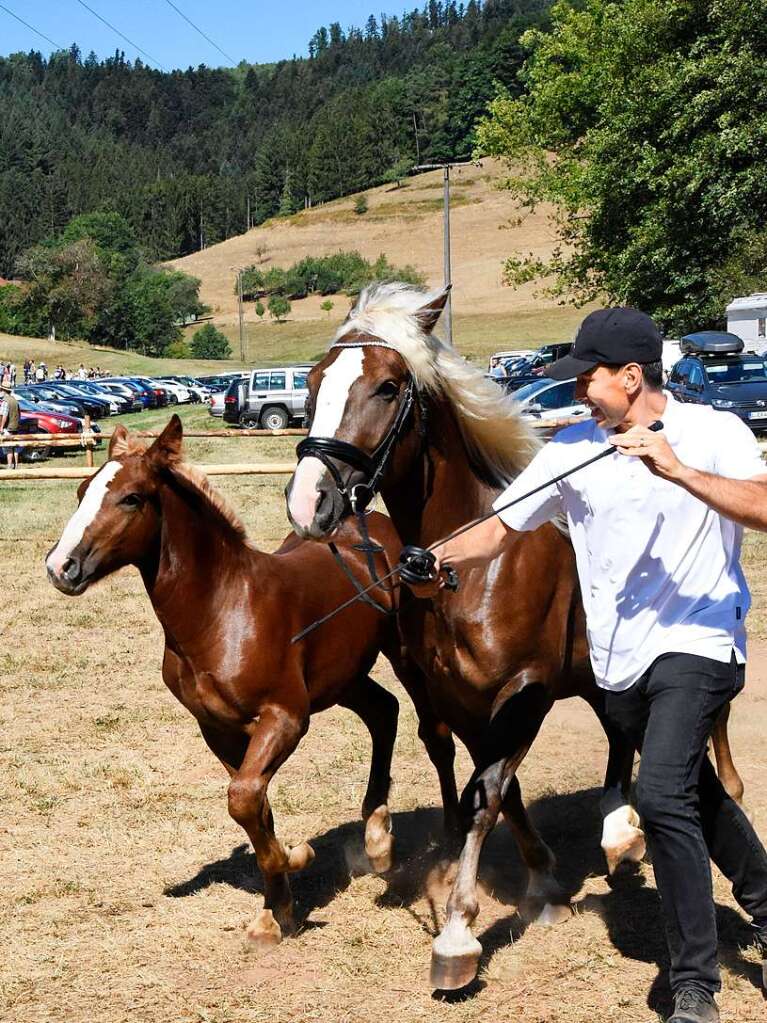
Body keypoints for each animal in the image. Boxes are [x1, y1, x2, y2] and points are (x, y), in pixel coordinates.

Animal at [46, 415, 462, 949]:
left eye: (132, 498)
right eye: (81, 491)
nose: (61, 567)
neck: (222, 611)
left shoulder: (286, 716)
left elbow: (244, 798)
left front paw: (296, 857)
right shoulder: (218, 727)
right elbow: (254, 807)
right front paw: (276, 912)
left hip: (404, 656)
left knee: (434, 734)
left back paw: (448, 840)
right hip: (343, 678)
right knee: (383, 712)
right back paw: (376, 836)